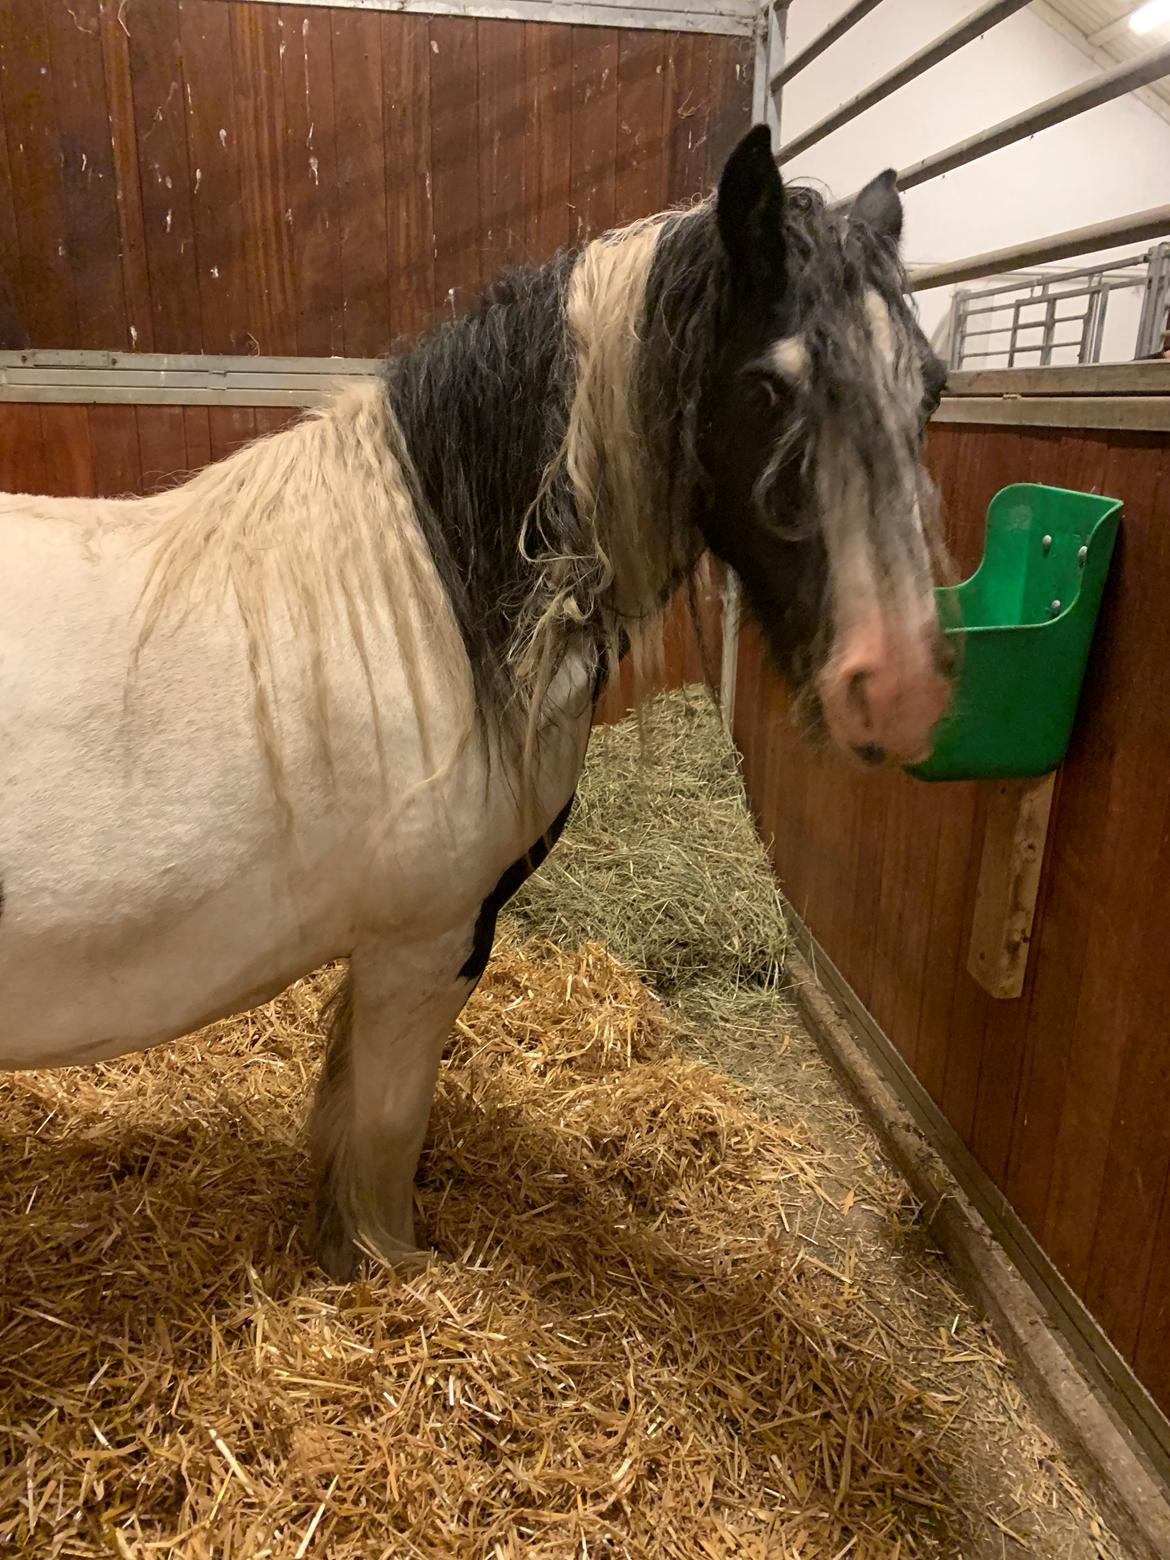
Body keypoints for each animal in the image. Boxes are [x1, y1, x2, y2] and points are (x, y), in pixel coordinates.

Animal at [0, 127, 954, 1279]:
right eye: (769, 388)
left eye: (931, 390)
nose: (898, 687)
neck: (424, 606)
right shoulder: (425, 945)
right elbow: (384, 1129)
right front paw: (392, 1269)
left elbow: (346, 1112)